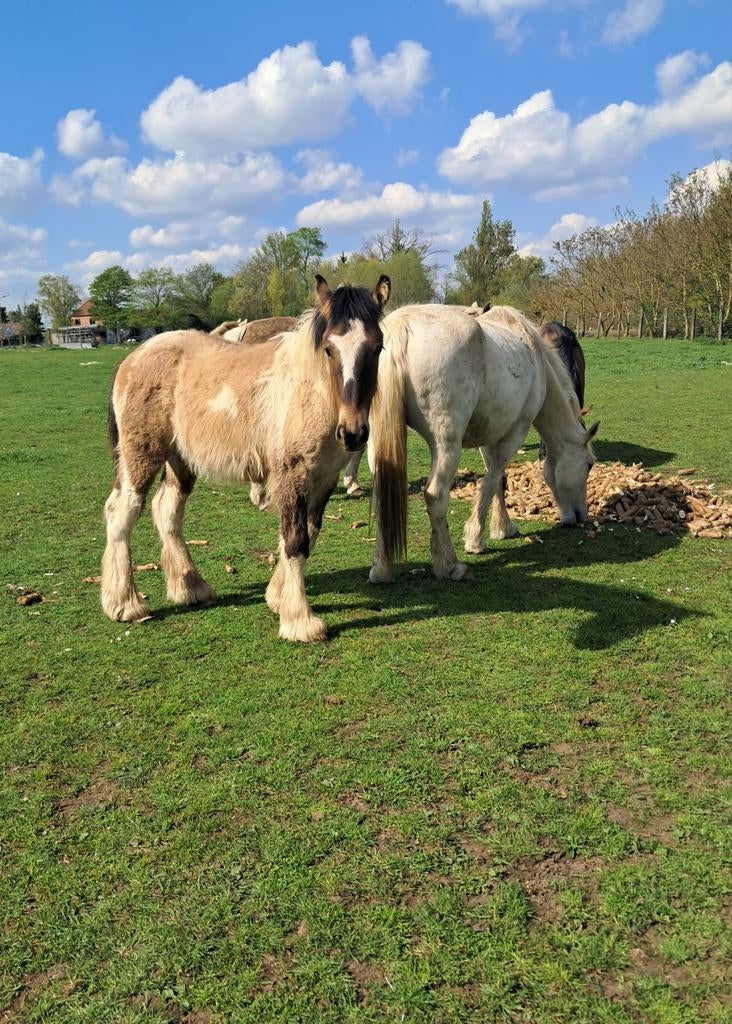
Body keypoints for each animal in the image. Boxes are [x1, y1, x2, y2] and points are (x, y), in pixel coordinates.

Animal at [101, 274, 391, 642]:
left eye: (377, 347)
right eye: (329, 348)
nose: (353, 433)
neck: (311, 392)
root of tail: (134, 357)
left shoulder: (323, 478)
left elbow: (306, 533)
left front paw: (278, 598)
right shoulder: (293, 474)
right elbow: (295, 541)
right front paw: (300, 621)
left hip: (180, 461)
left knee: (166, 512)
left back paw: (191, 588)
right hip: (141, 456)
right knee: (121, 513)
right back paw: (124, 604)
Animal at [368, 304, 599, 583]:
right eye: (589, 464)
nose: (578, 516)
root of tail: (402, 326)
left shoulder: (490, 436)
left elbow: (495, 479)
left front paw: (502, 527)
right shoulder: (515, 432)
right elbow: (493, 479)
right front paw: (476, 540)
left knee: (381, 494)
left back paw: (381, 569)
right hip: (446, 446)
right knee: (435, 496)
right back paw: (451, 566)